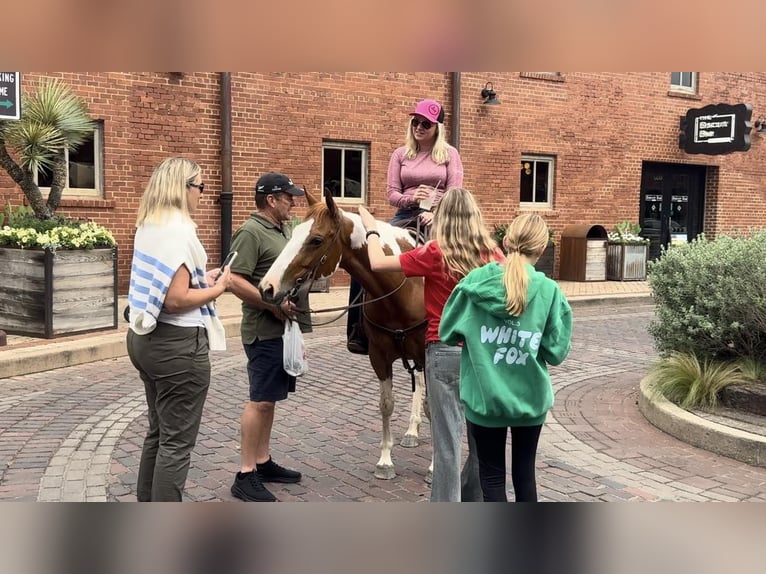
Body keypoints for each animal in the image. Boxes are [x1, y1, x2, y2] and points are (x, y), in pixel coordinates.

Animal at [260, 189, 432, 482]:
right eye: (293, 233)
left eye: (316, 240)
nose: (267, 287)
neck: (405, 285)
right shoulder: (379, 356)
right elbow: (386, 404)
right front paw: (385, 461)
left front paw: (435, 467)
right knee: (417, 382)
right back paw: (411, 431)